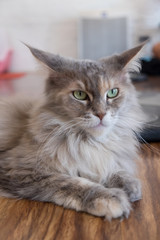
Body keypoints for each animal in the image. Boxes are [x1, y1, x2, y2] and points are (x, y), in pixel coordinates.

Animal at [0, 43, 145, 219]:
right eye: (79, 94)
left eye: (112, 92)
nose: (101, 114)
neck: (88, 142)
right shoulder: (18, 168)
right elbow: (69, 182)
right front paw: (109, 198)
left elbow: (110, 167)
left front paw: (128, 183)